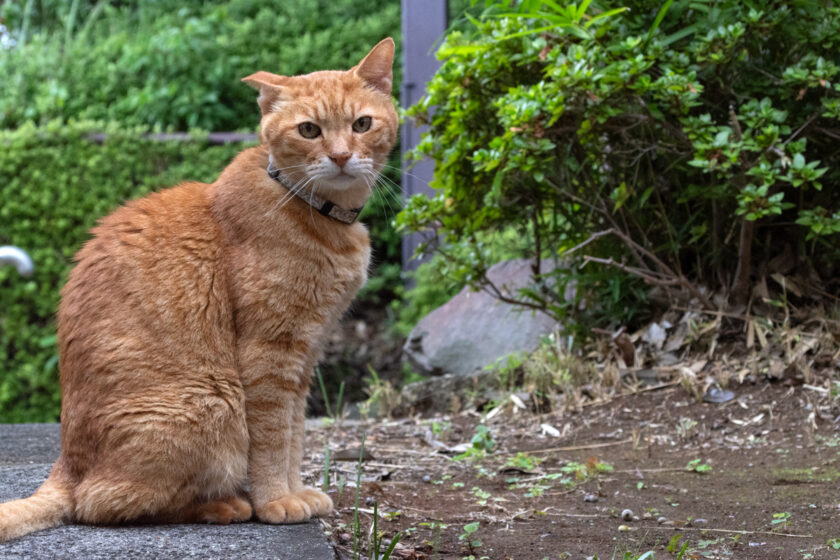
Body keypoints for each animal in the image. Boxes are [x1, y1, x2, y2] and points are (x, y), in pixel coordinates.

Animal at [0, 37, 398, 540]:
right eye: (309, 130)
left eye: (362, 124)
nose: (342, 156)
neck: (315, 212)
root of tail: (65, 464)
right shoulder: (270, 355)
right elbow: (272, 439)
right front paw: (276, 501)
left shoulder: (304, 357)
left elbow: (294, 435)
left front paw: (296, 491)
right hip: (215, 400)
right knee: (101, 505)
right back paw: (225, 505)